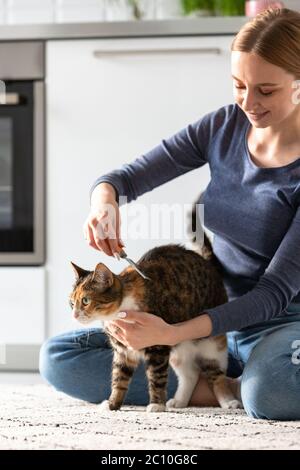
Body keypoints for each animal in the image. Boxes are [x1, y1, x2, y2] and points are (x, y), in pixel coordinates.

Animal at [69, 204, 241, 414]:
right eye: (71, 302)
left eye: (85, 300)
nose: (74, 314)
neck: (119, 311)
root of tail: (209, 265)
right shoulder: (123, 351)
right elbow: (119, 379)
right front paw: (112, 404)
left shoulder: (158, 346)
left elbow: (156, 377)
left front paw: (157, 404)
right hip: (178, 351)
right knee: (190, 373)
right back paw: (179, 401)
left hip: (212, 346)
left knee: (216, 375)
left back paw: (228, 401)